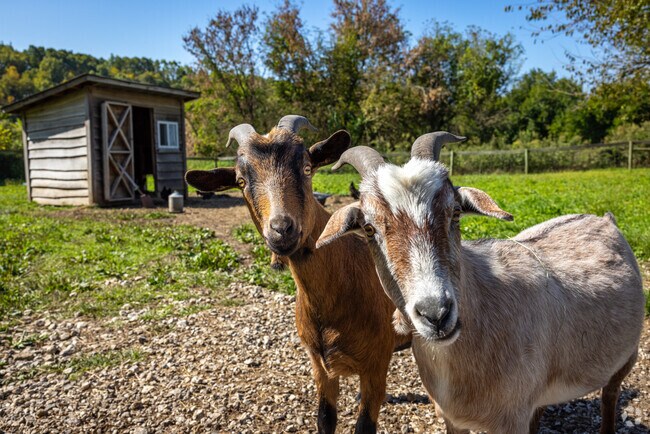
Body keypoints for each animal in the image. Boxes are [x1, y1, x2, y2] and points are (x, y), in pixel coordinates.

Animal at [185, 115, 411, 434]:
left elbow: (365, 425)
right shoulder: (320, 365)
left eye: (306, 168)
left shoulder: (376, 365)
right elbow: (325, 418)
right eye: (241, 181)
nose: (281, 229)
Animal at [316, 132, 645, 434]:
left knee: (610, 395)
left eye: (455, 212)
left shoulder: (511, 420)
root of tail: (605, 218)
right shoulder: (452, 417)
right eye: (369, 229)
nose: (436, 314)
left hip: (627, 356)